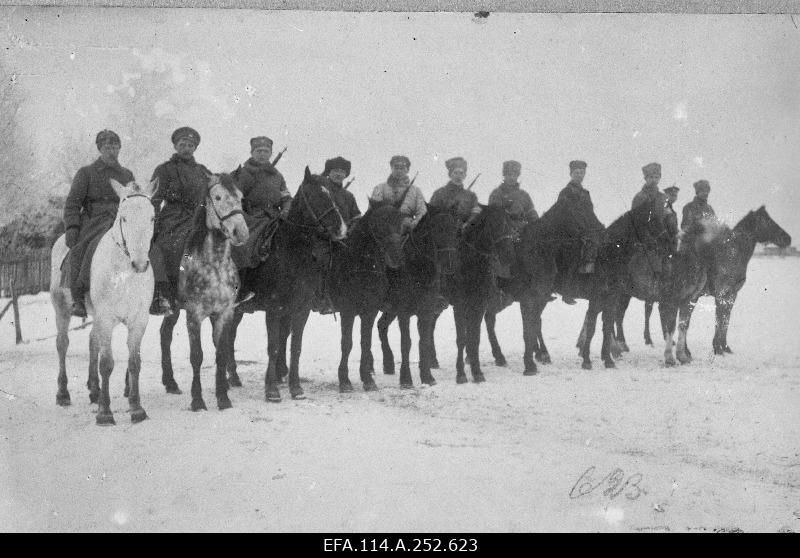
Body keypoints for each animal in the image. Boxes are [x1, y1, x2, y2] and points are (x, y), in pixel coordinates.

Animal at [49, 177, 158, 426]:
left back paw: (94, 391)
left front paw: (136, 408)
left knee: (92, 342)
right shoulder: (106, 318)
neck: (125, 272)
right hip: (62, 309)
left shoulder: (139, 320)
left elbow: (134, 362)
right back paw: (63, 394)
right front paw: (105, 412)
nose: (140, 264)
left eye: (152, 217)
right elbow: (107, 363)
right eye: (124, 217)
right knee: (62, 344)